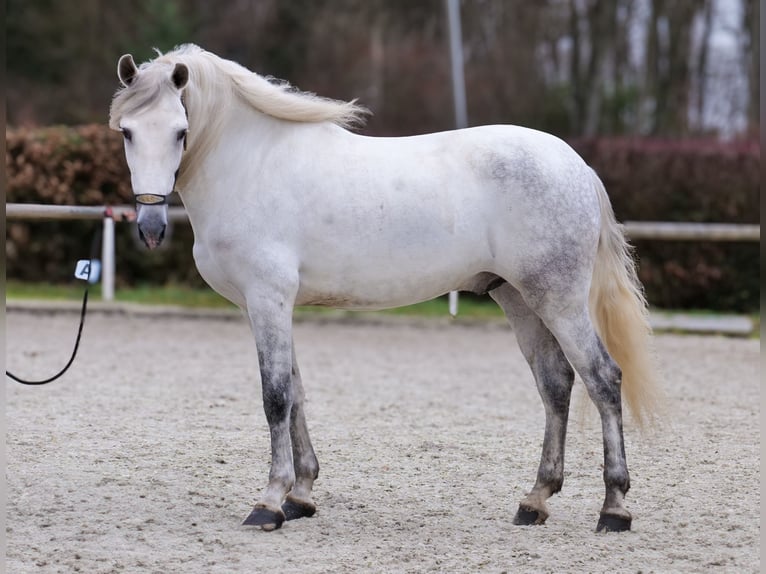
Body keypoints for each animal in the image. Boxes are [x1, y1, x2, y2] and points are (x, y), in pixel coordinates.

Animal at [110, 44, 658, 533]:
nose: (152, 226)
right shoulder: (270, 305)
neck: (252, 163)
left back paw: (614, 508)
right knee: (555, 384)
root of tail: (577, 167)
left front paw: (269, 502)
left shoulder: (268, 299)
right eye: (128, 132)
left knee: (603, 378)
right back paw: (535, 500)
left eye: (181, 131)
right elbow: (297, 392)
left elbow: (276, 396)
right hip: (520, 298)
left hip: (558, 299)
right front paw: (301, 496)